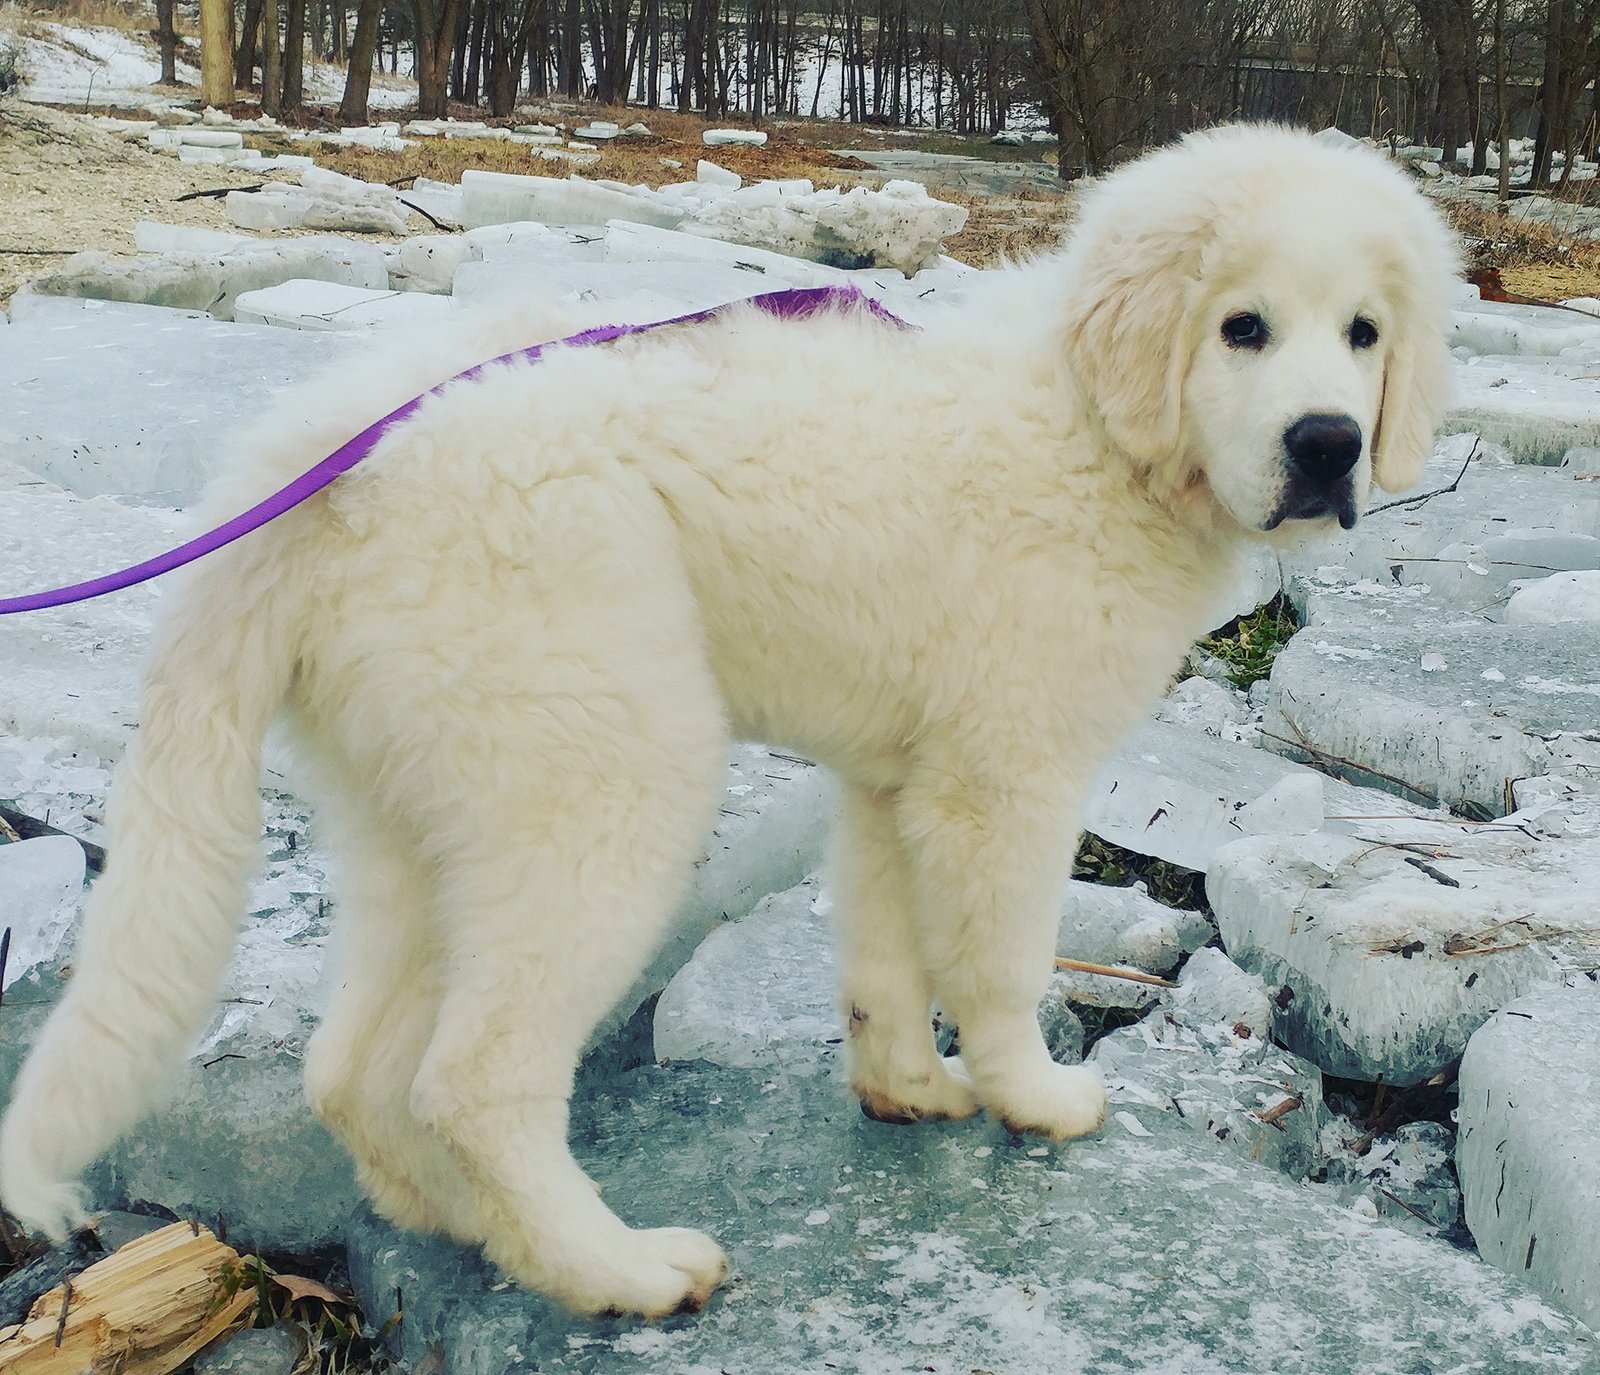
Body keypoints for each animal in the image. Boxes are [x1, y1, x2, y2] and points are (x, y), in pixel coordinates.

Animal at [0, 126, 1459, 1325]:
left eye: (1364, 333)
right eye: (1242, 328)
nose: (1328, 446)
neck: (1097, 431)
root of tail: (311, 458)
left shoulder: (895, 775)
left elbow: (884, 953)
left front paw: (907, 1089)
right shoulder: (1008, 774)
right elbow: (997, 962)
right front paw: (1034, 1096)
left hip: (433, 801)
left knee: (357, 1068)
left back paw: (470, 1230)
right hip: (604, 768)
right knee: (472, 1075)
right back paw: (616, 1270)